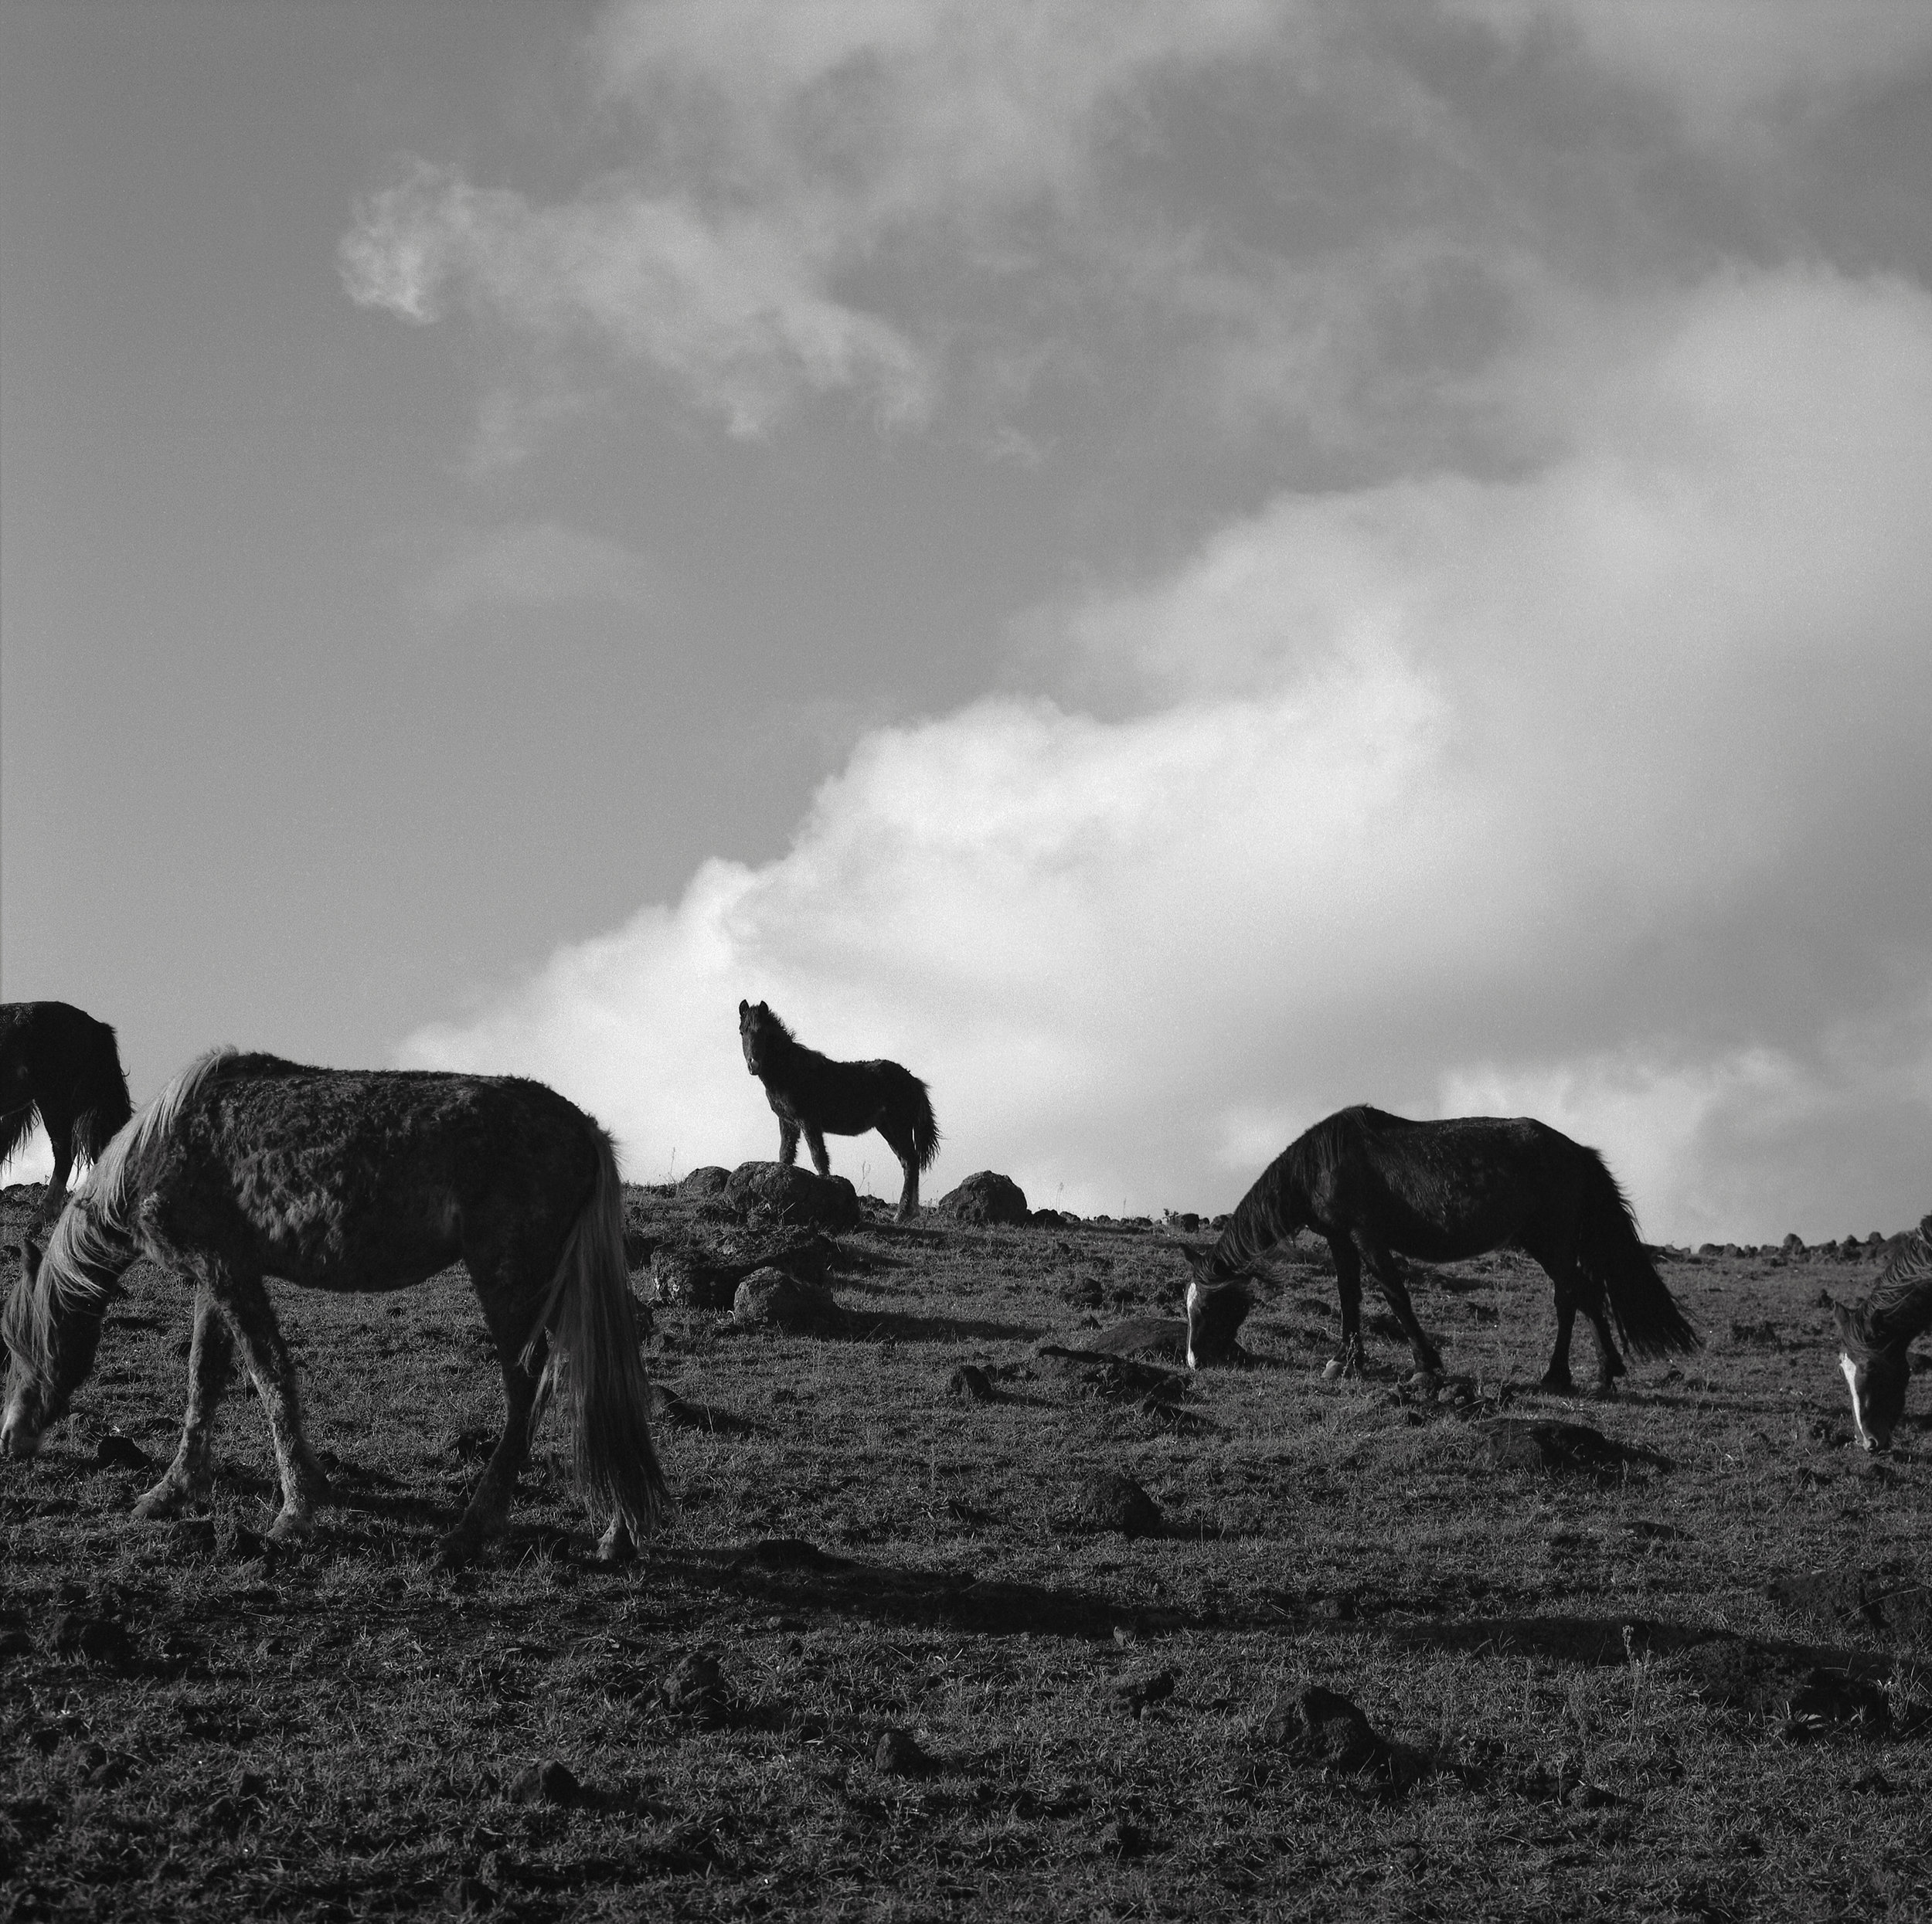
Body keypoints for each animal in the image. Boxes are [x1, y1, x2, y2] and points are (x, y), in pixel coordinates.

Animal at [3, 1051, 672, 1561]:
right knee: (595, 1386)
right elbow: (204, 1380)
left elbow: (268, 1377)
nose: (11, 1437)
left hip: (510, 1280)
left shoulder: (226, 1272)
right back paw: (615, 1536)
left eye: (15, 1345)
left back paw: (471, 1532)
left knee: (531, 1392)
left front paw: (295, 1512)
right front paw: (172, 1493)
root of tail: (584, 1128)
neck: (162, 1150)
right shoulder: (215, 1280)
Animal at [734, 997, 939, 1229]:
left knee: (911, 1162)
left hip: (899, 1126)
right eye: (742, 1032)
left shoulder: (809, 1121)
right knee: (908, 1162)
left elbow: (819, 1157)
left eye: (764, 1032)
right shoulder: (787, 1122)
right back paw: (910, 1212)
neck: (791, 1071)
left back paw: (902, 1214)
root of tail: (915, 1081)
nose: (753, 1064)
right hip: (887, 1128)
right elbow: (785, 1155)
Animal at [1175, 1105, 1692, 1391]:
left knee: (1572, 1296)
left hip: (1552, 1240)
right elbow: (1349, 1298)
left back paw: (1573, 1375)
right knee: (1582, 1294)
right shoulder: (1341, 1240)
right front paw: (1346, 1361)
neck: (1322, 1164)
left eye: (1210, 1307)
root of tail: (1576, 1151)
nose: (1195, 1363)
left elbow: (1395, 1296)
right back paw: (1596, 1372)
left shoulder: (1366, 1236)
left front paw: (1426, 1365)